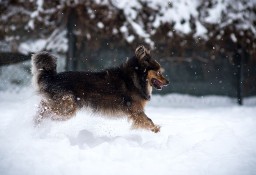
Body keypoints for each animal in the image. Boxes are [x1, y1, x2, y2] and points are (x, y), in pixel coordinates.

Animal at [31, 45, 168, 133]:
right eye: (158, 72)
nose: (168, 82)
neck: (135, 77)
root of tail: (52, 77)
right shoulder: (136, 110)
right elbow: (148, 121)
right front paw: (156, 129)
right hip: (67, 107)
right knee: (46, 110)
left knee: (43, 107)